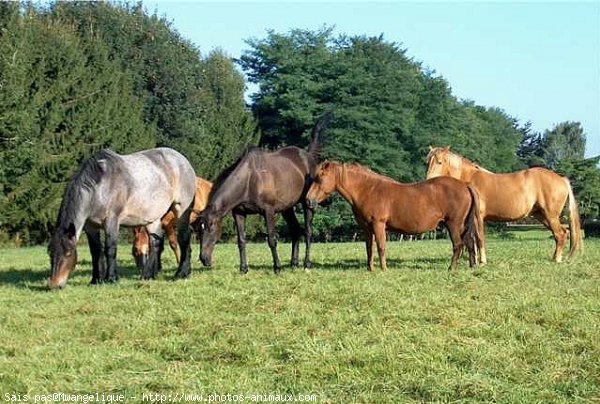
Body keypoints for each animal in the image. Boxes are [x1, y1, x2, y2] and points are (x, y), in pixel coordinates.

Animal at [48, 147, 197, 288]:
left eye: (68, 253)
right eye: (50, 253)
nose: (54, 285)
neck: (99, 187)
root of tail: (183, 160)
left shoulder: (111, 221)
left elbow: (110, 248)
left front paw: (111, 278)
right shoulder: (90, 227)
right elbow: (95, 251)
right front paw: (95, 280)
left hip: (181, 210)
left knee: (184, 238)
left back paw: (181, 273)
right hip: (153, 219)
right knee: (156, 242)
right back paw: (148, 275)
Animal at [199, 112, 332, 274]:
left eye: (211, 227)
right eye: (199, 229)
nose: (204, 259)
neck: (249, 180)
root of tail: (308, 156)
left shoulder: (268, 212)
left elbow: (272, 240)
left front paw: (277, 267)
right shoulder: (239, 213)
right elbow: (241, 241)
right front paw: (243, 269)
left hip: (308, 204)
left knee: (307, 231)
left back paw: (307, 263)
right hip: (287, 208)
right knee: (295, 230)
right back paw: (294, 263)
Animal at [308, 161, 480, 272]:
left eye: (320, 178)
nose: (308, 200)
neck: (368, 190)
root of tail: (465, 185)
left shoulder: (378, 225)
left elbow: (381, 246)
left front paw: (384, 269)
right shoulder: (366, 228)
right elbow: (369, 248)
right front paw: (370, 269)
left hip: (453, 225)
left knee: (458, 245)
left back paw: (451, 268)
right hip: (462, 226)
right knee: (469, 243)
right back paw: (472, 267)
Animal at [426, 147, 580, 264]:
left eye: (439, 162)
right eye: (427, 162)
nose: (428, 180)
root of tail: (561, 179)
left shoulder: (478, 217)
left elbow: (480, 238)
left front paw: (482, 261)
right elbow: (473, 239)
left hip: (550, 215)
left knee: (560, 234)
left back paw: (557, 259)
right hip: (542, 216)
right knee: (562, 233)